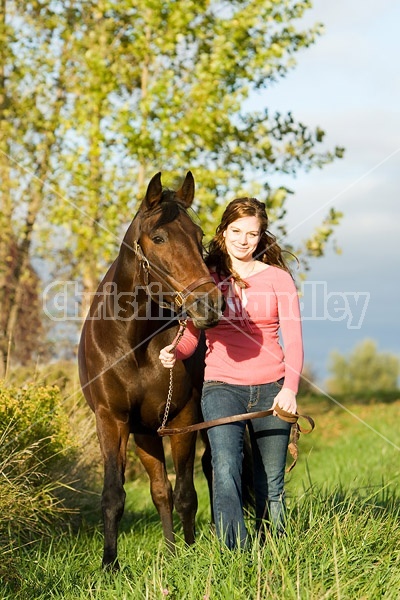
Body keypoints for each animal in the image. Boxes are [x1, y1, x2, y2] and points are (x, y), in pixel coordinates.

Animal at [76, 172, 223, 568]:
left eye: (199, 236)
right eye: (158, 238)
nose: (209, 305)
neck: (134, 341)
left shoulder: (183, 416)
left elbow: (187, 492)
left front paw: (190, 554)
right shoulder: (113, 420)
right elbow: (116, 495)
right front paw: (110, 565)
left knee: (211, 469)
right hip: (145, 432)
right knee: (160, 489)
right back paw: (170, 552)